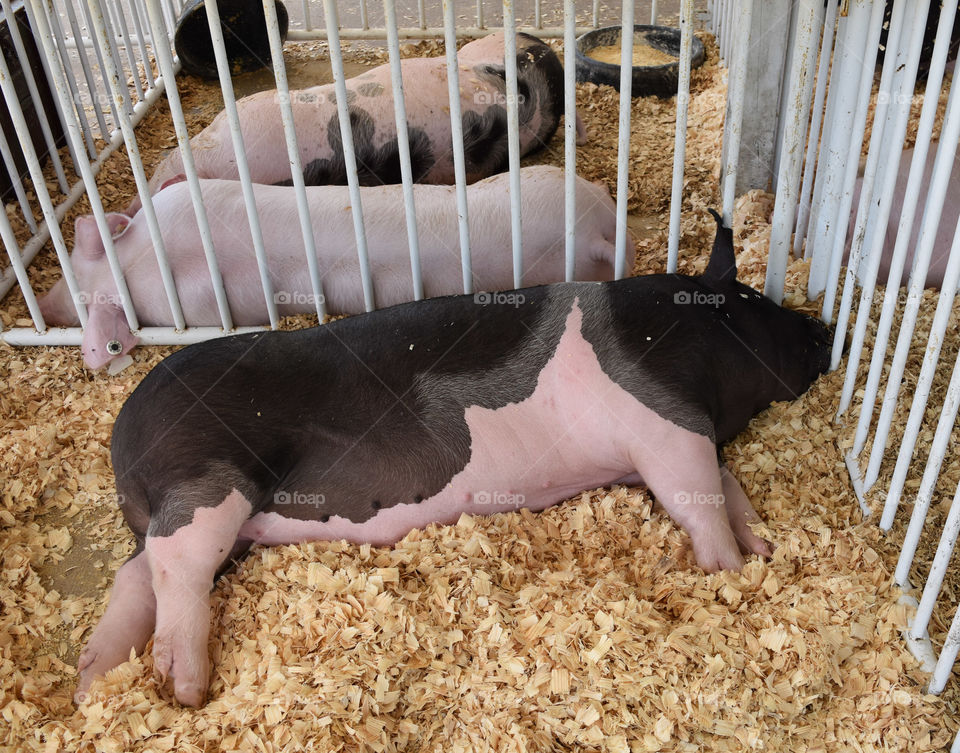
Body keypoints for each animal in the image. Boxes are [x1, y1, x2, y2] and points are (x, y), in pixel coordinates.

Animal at [75, 212, 832, 704]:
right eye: (759, 305)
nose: (824, 329)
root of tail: (122, 439)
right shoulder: (667, 425)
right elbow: (698, 499)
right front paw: (728, 573)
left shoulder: (681, 438)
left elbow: (726, 485)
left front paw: (763, 546)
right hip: (208, 479)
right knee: (176, 570)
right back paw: (183, 688)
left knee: (137, 571)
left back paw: (91, 678)